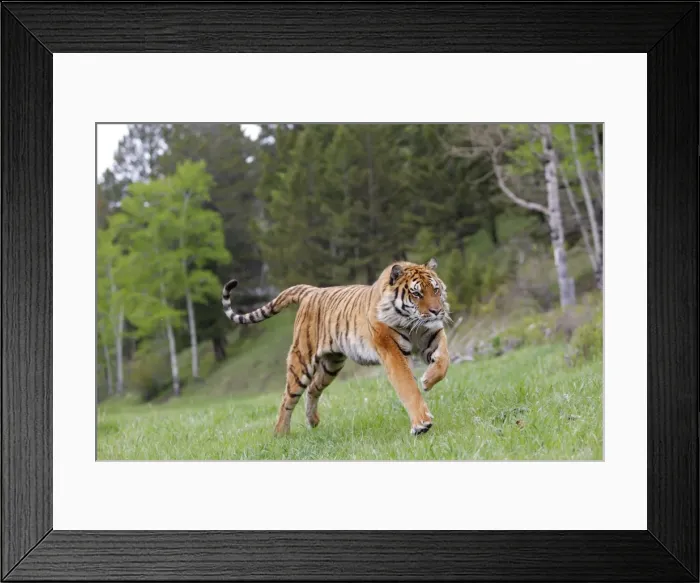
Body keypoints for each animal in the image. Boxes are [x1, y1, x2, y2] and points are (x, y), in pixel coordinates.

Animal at [221, 258, 450, 436]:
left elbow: (444, 360)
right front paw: (421, 424)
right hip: (301, 361)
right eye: (416, 294)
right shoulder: (392, 351)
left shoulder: (432, 334)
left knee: (313, 388)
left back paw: (312, 421)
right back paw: (280, 434)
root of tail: (312, 291)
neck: (413, 325)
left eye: (436, 289)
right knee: (287, 398)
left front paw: (428, 380)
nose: (437, 311)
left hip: (331, 364)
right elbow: (407, 387)